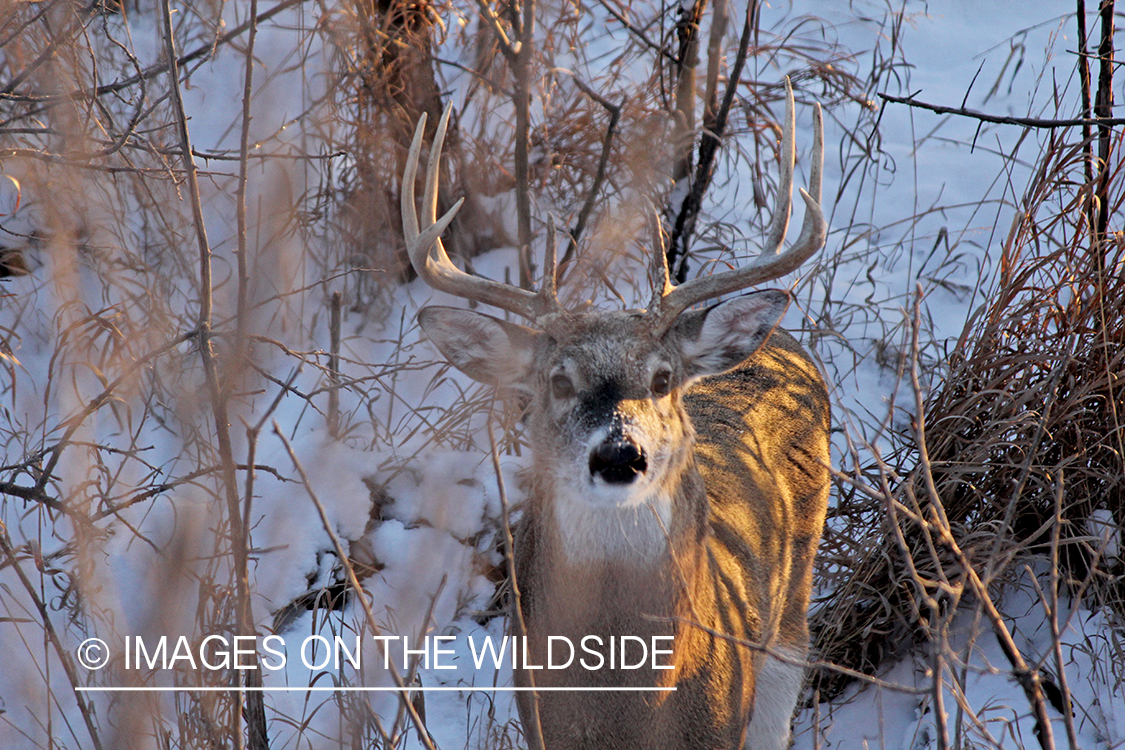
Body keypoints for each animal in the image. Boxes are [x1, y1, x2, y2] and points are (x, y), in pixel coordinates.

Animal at [400, 79, 832, 746]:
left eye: (662, 378)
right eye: (557, 380)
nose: (620, 454)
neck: (627, 716)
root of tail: (784, 341)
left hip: (790, 618)